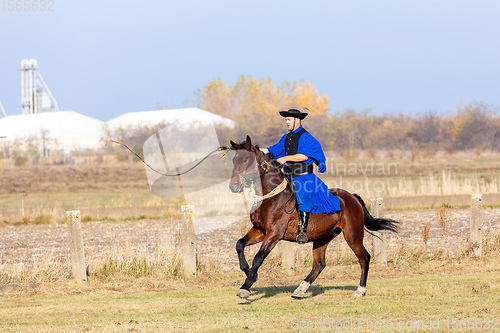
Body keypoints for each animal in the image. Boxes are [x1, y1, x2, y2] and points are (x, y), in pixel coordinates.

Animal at [229, 135, 398, 298]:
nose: (233, 186)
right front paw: (248, 273)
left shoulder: (274, 234)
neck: (271, 197)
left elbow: (258, 257)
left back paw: (360, 290)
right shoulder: (259, 231)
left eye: (245, 159)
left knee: (364, 258)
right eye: (233, 159)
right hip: (322, 238)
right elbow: (239, 244)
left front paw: (246, 285)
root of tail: (352, 197)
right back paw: (300, 290)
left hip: (353, 235)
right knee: (319, 264)